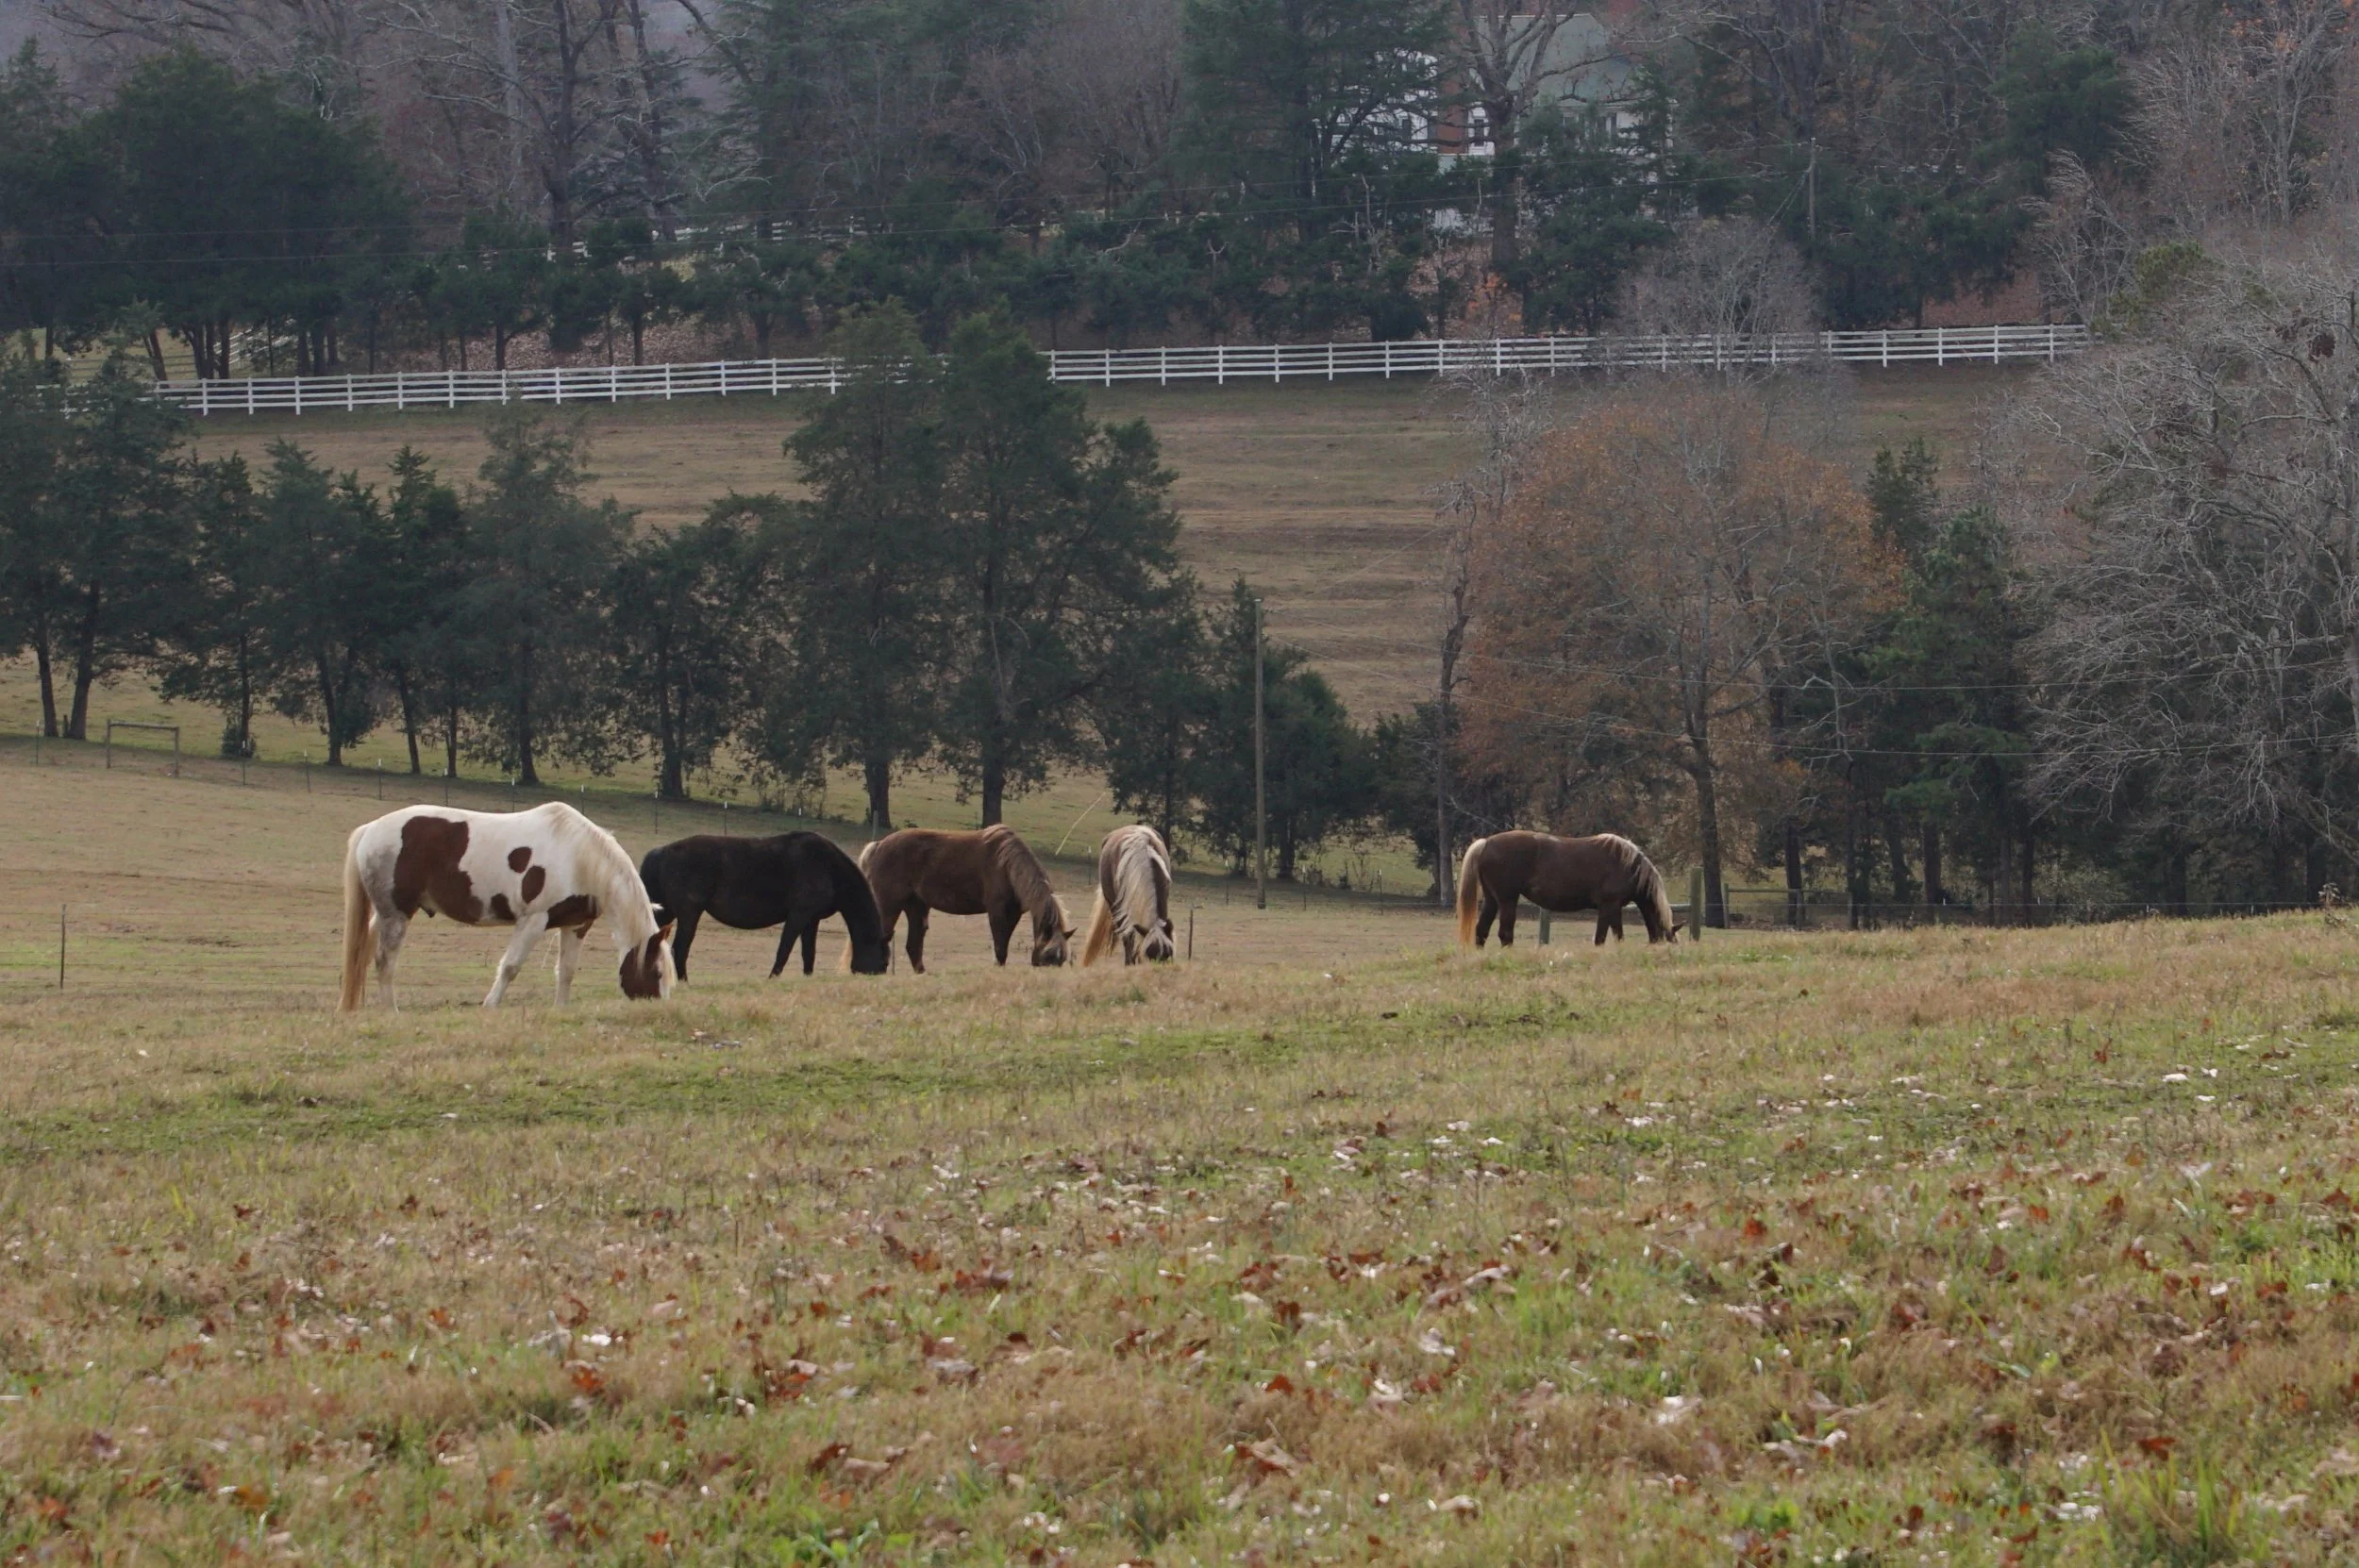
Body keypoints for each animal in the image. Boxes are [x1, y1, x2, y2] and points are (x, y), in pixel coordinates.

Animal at [340, 802, 675, 1010]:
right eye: (658, 973)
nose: (660, 1009)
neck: (577, 857)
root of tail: (371, 829)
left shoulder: (575, 925)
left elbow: (566, 971)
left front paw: (561, 1010)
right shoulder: (533, 921)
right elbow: (511, 967)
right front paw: (490, 1006)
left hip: (384, 914)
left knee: (365, 956)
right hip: (396, 914)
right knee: (385, 961)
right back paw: (391, 1011)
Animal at [638, 831, 890, 980]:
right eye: (884, 961)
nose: (877, 975)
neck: (828, 867)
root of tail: (662, 851)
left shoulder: (812, 920)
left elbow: (808, 953)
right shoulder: (798, 915)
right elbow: (784, 949)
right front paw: (773, 978)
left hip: (666, 912)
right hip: (688, 914)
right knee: (680, 948)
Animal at [856, 825, 1072, 973]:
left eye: (1061, 959)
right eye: (1049, 956)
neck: (1007, 865)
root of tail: (878, 845)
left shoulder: (1013, 914)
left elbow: (1004, 945)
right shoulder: (997, 912)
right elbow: (1000, 946)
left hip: (916, 907)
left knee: (913, 945)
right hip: (889, 906)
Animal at [1081, 824, 1175, 966]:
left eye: (1167, 955)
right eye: (1150, 954)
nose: (1156, 969)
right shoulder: (1122, 909)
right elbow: (1128, 936)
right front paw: (1129, 963)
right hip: (1113, 906)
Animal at [1455, 831, 1681, 948]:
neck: (1628, 863)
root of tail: (1486, 843)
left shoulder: (1614, 908)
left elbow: (1616, 935)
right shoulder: (1609, 906)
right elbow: (1602, 938)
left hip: (1492, 901)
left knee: (1481, 931)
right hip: (1507, 900)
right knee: (1505, 934)